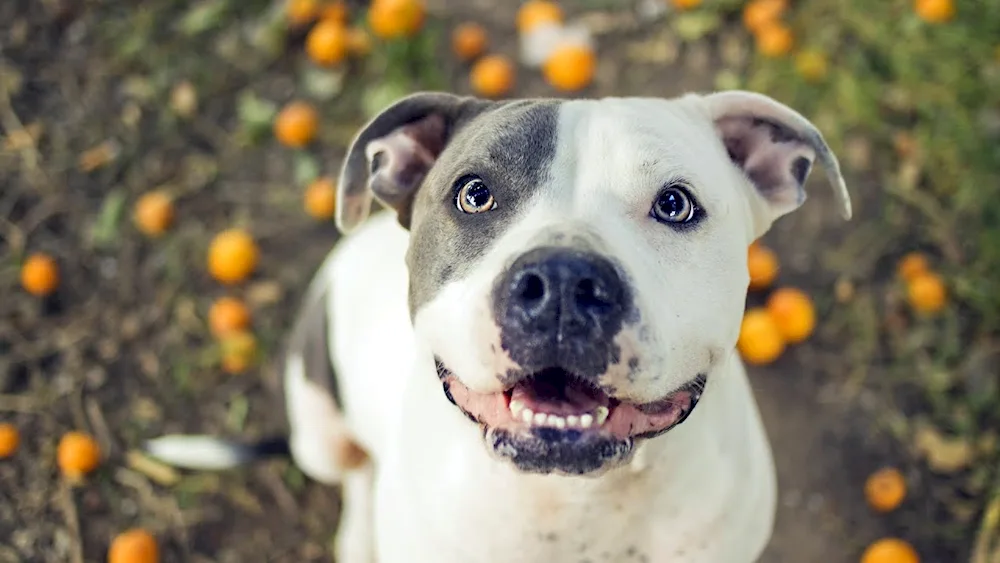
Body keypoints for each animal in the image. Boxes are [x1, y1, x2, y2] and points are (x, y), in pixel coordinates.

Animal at [146, 90, 852, 560]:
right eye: (474, 194)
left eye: (675, 204)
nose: (563, 282)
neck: (578, 504)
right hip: (318, 427)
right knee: (354, 474)